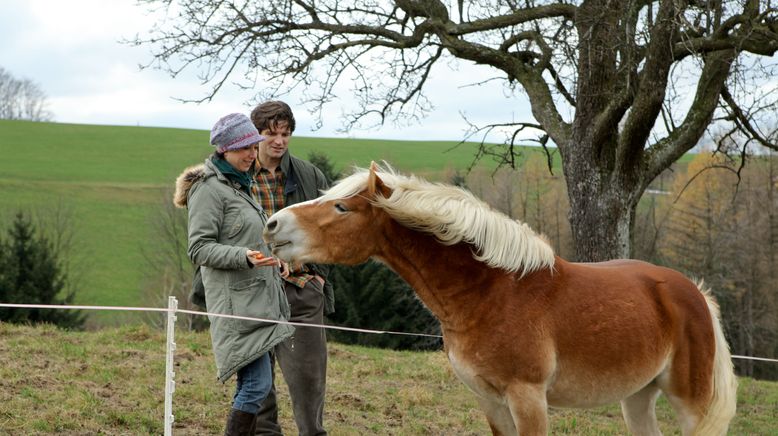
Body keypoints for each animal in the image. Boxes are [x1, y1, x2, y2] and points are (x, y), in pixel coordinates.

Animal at [260, 162, 732, 434]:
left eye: (342, 208)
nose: (272, 224)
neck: (492, 292)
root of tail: (694, 292)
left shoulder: (528, 399)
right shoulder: (490, 400)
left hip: (689, 403)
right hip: (637, 396)